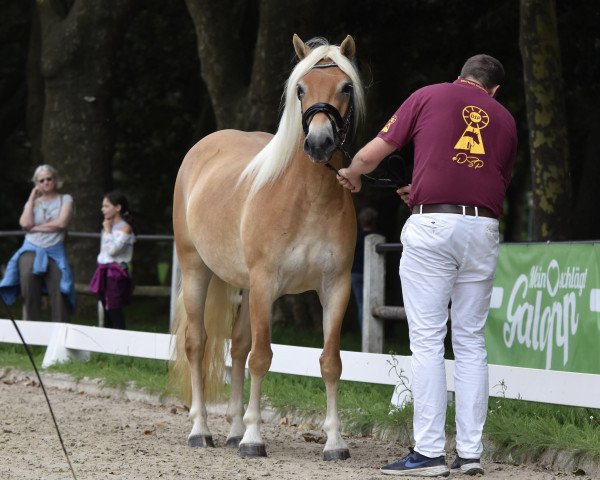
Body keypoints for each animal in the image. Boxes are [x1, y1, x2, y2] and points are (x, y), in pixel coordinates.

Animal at [170, 34, 366, 462]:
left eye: (345, 87)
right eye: (300, 89)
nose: (319, 143)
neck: (308, 197)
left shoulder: (336, 288)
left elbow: (330, 362)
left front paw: (335, 443)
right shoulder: (265, 285)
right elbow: (262, 359)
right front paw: (253, 440)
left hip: (243, 286)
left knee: (238, 348)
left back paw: (231, 431)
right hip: (196, 270)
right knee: (198, 343)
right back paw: (201, 430)